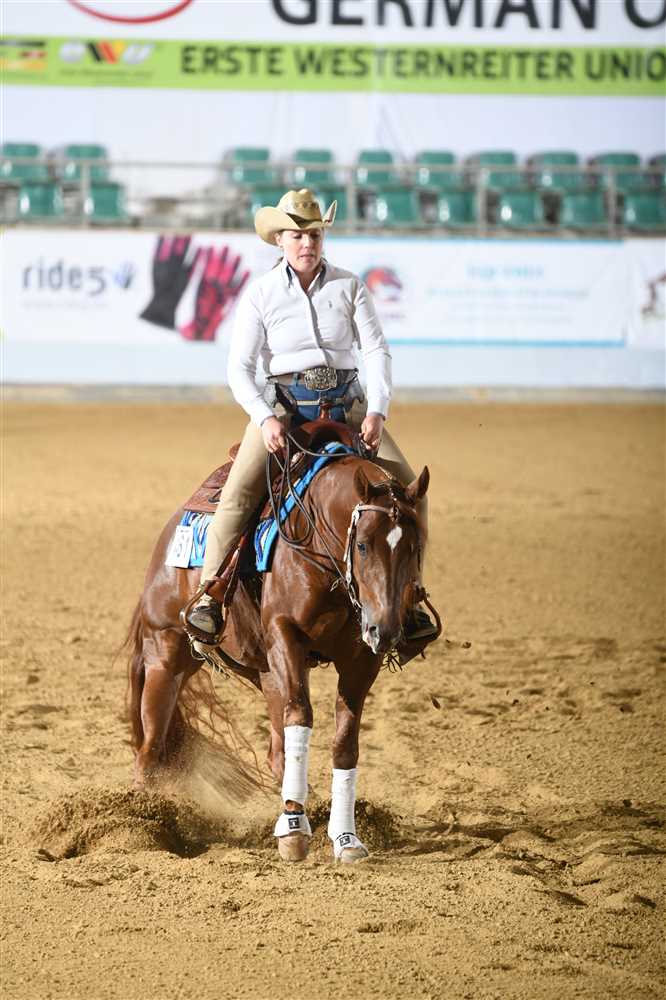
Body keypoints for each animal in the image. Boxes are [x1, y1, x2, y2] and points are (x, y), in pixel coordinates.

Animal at [125, 424, 432, 863]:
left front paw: (344, 836)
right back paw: (141, 826)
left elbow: (344, 743)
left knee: (277, 752)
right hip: (165, 656)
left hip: (264, 672)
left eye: (416, 546)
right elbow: (301, 717)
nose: (386, 629)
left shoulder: (360, 659)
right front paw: (293, 832)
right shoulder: (286, 637)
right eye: (362, 545)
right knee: (149, 750)